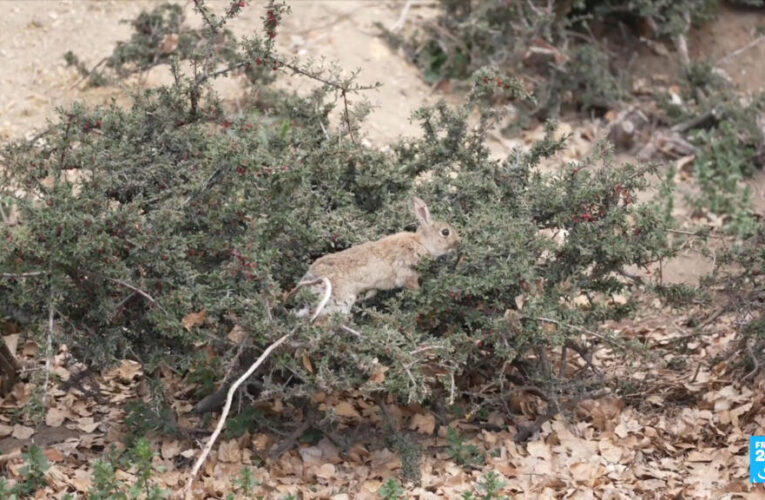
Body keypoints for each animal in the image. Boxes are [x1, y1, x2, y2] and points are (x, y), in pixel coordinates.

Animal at [288, 196, 460, 318]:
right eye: (445, 232)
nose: (458, 243)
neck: (422, 243)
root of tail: (309, 281)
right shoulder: (407, 273)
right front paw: (422, 293)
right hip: (340, 300)